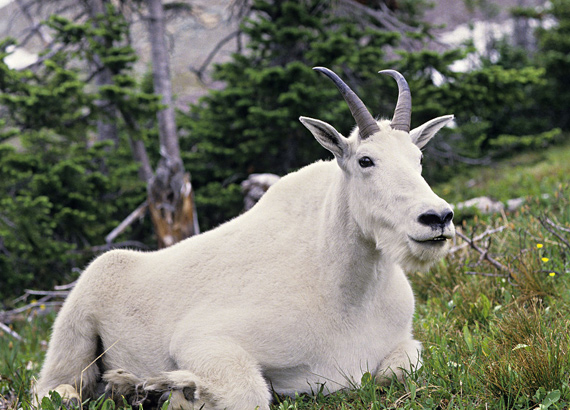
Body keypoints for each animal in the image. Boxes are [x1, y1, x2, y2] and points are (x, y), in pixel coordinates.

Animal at [35, 65, 452, 408]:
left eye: (418, 159)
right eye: (366, 161)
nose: (437, 218)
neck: (348, 292)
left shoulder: (401, 344)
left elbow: (396, 371)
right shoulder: (203, 340)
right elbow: (248, 392)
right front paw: (171, 390)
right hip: (74, 327)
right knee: (52, 387)